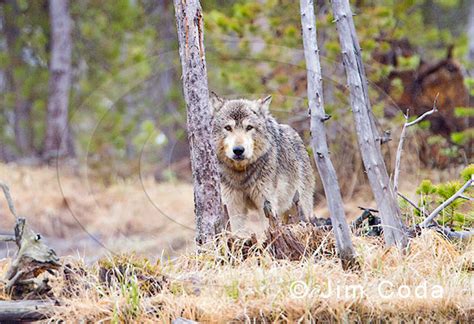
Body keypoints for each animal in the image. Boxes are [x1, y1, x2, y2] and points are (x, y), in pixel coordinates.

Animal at [210, 92, 314, 232]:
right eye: (228, 127)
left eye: (249, 127)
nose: (238, 150)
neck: (241, 173)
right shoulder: (232, 204)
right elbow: (238, 231)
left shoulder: (265, 201)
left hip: (299, 203)